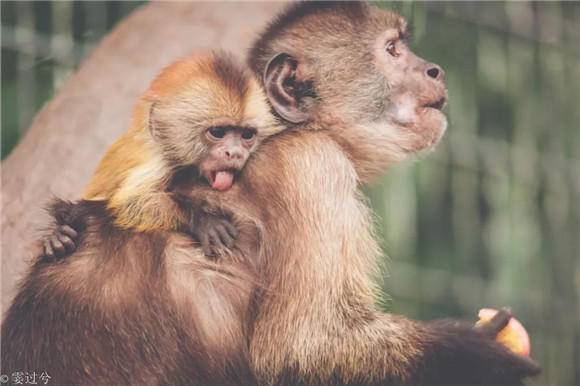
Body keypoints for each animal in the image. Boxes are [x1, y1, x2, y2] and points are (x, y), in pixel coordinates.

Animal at [44, 50, 280, 256]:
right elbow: (128, 203)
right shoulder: (159, 160)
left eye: (247, 135)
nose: (235, 153)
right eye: (217, 132)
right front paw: (201, 218)